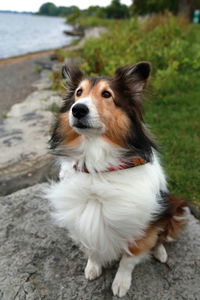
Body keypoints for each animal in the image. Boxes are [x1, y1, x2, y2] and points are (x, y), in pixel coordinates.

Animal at [46, 62, 188, 296]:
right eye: (78, 93)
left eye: (107, 94)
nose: (78, 109)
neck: (98, 168)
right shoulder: (84, 219)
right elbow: (92, 247)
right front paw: (93, 266)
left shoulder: (140, 225)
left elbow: (128, 259)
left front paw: (121, 283)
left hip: (170, 206)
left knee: (161, 235)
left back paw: (160, 252)